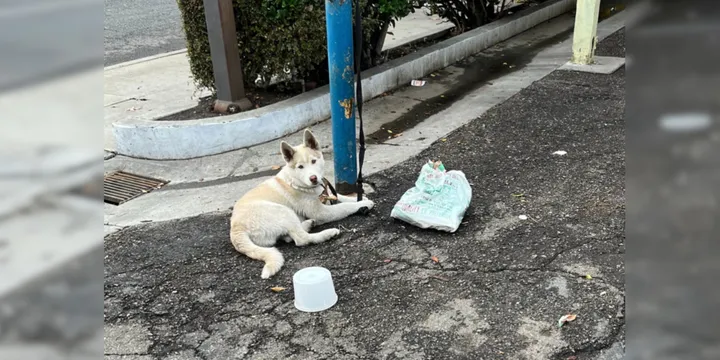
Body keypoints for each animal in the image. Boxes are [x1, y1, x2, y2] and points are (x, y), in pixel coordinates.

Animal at [229, 129, 376, 278]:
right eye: (300, 167)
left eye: (313, 161)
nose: (313, 178)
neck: (296, 181)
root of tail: (236, 229)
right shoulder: (322, 212)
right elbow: (343, 207)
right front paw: (361, 205)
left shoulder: (324, 194)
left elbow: (338, 196)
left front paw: (359, 199)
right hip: (283, 211)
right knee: (301, 239)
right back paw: (326, 233)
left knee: (289, 237)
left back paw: (308, 224)